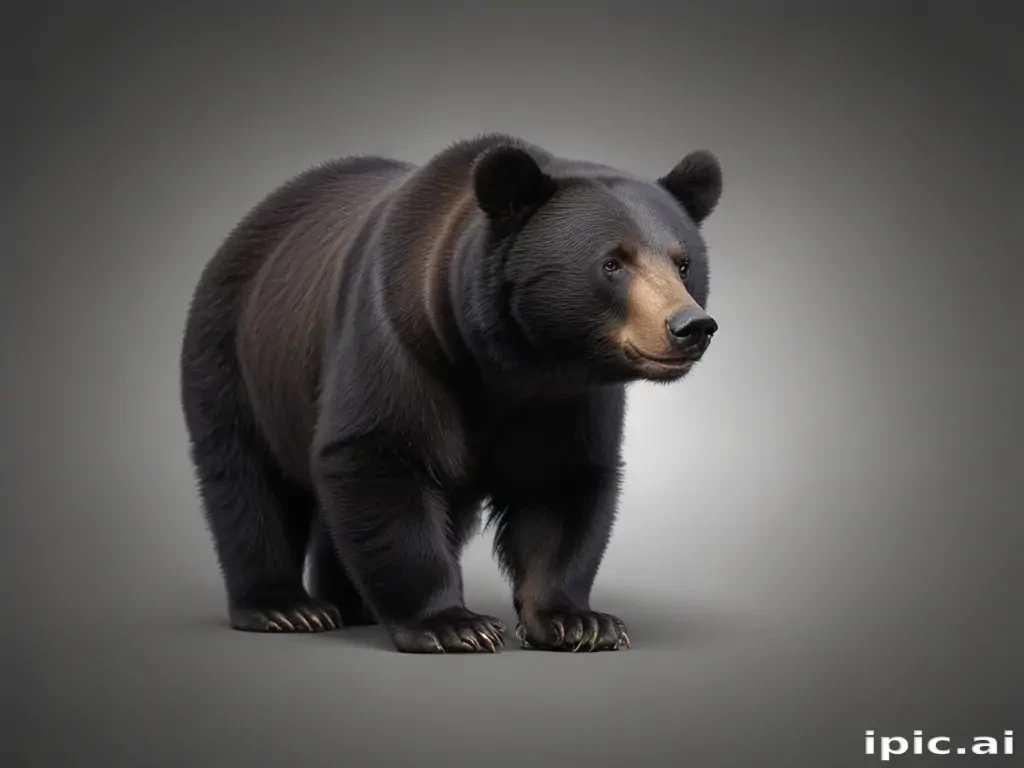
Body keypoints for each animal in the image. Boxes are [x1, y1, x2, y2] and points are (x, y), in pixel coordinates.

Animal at [179, 133, 722, 653]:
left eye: (683, 263)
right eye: (612, 263)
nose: (690, 326)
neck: (511, 365)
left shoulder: (568, 400)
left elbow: (563, 484)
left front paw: (580, 621)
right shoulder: (400, 341)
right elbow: (379, 457)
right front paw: (452, 625)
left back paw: (352, 602)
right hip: (235, 353)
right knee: (245, 478)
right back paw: (285, 608)